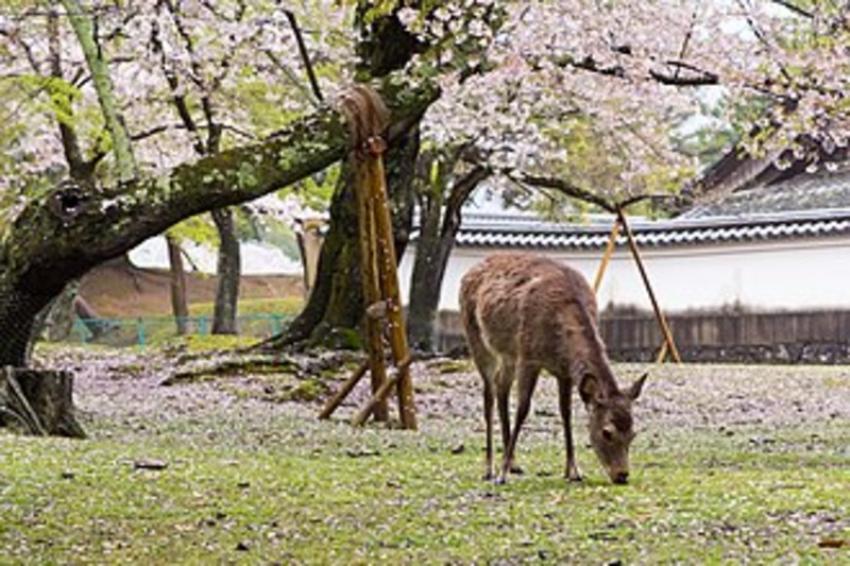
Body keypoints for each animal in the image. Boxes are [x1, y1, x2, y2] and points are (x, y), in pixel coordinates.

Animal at [460, 255, 644, 486]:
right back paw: (490, 468)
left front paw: (573, 471)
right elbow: (522, 409)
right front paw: (502, 475)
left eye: (633, 433)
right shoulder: (528, 357)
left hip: (508, 354)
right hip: (476, 338)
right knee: (489, 395)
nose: (622, 475)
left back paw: (513, 464)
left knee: (501, 386)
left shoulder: (564, 372)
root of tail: (470, 270)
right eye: (606, 432)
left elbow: (566, 413)